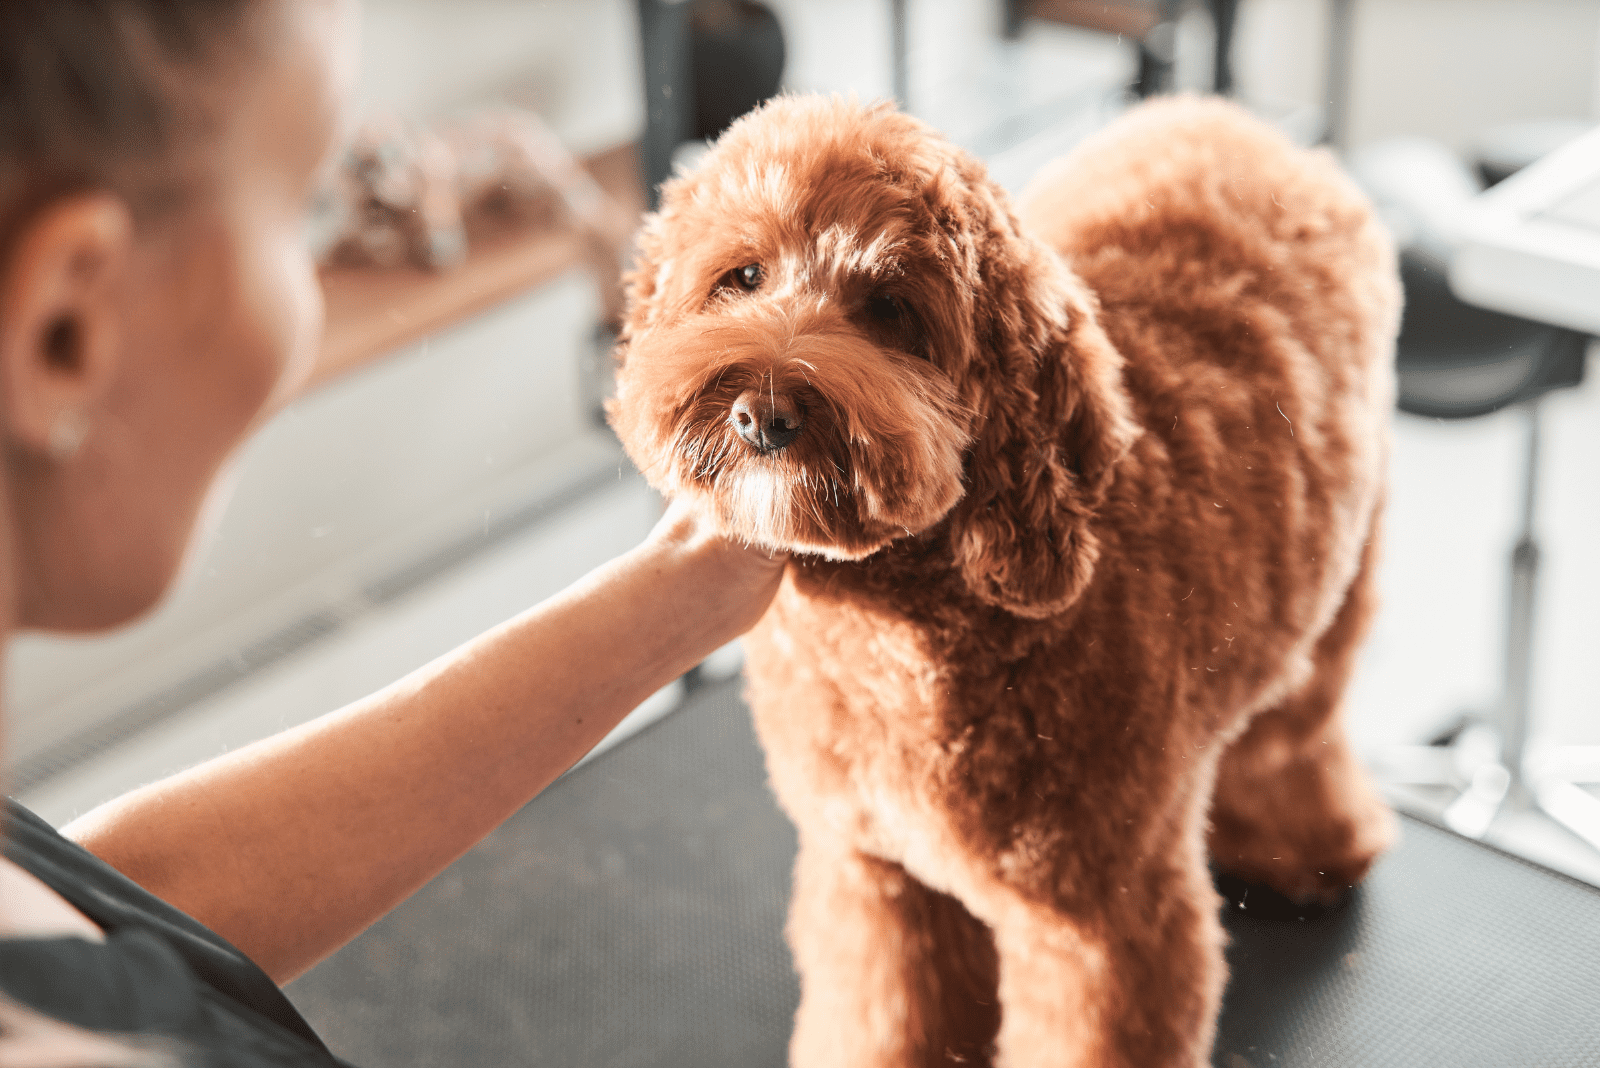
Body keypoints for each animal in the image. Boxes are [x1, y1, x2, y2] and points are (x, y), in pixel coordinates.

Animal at [608, 93, 1401, 1068]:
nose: (764, 412)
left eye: (891, 310)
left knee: (1298, 725)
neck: (896, 648)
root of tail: (1228, 117)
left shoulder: (1104, 930)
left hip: (1341, 581)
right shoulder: (873, 876)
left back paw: (1309, 849)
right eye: (743, 276)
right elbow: (882, 1017)